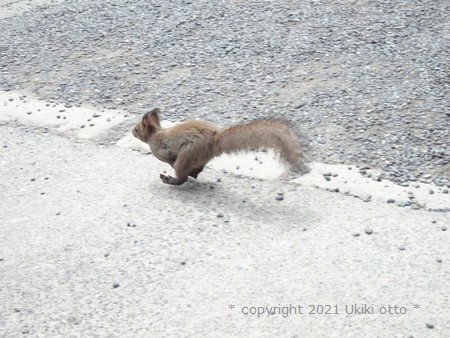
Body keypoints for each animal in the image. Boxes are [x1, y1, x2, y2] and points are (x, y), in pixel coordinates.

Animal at [132, 108, 312, 185]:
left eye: (137, 129)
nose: (132, 131)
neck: (154, 136)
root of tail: (214, 141)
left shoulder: (163, 150)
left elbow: (169, 159)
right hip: (198, 156)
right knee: (200, 167)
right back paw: (194, 173)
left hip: (187, 155)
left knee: (182, 175)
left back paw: (170, 178)